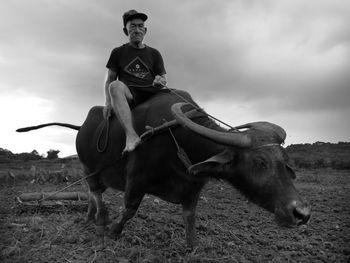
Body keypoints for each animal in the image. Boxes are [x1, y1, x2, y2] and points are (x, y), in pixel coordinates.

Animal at [17, 90, 310, 248]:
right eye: (259, 162)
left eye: (285, 161)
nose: (302, 213)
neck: (179, 141)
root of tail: (82, 127)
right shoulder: (136, 180)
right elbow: (129, 210)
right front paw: (113, 230)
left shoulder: (193, 188)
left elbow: (190, 217)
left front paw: (192, 245)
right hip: (88, 166)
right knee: (96, 191)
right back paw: (101, 220)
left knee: (91, 193)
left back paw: (90, 217)